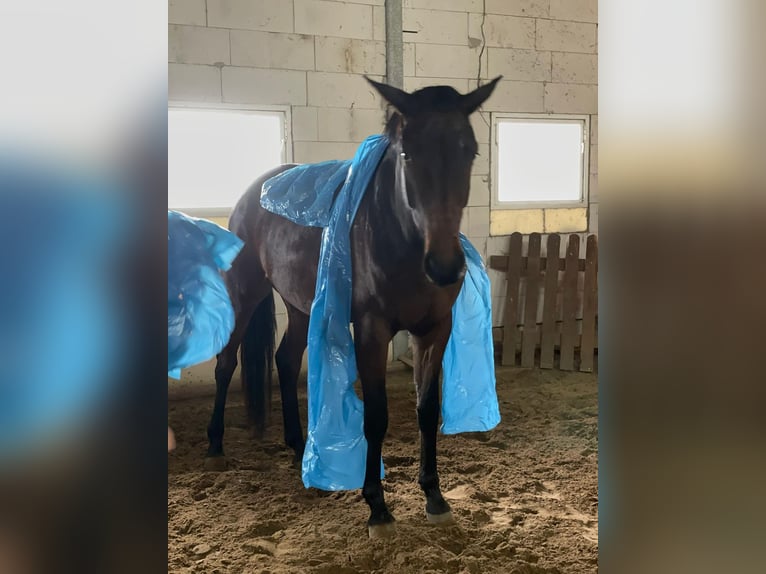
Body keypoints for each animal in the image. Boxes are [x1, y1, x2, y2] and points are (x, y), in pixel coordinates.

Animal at [205, 76, 501, 537]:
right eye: (407, 153)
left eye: (469, 150)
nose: (444, 266)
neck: (401, 239)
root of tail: (254, 192)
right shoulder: (371, 331)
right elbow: (376, 416)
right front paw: (377, 506)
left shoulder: (434, 330)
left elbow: (427, 409)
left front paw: (434, 496)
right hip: (245, 291)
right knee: (225, 363)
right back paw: (216, 445)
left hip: (301, 306)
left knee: (285, 360)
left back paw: (299, 448)